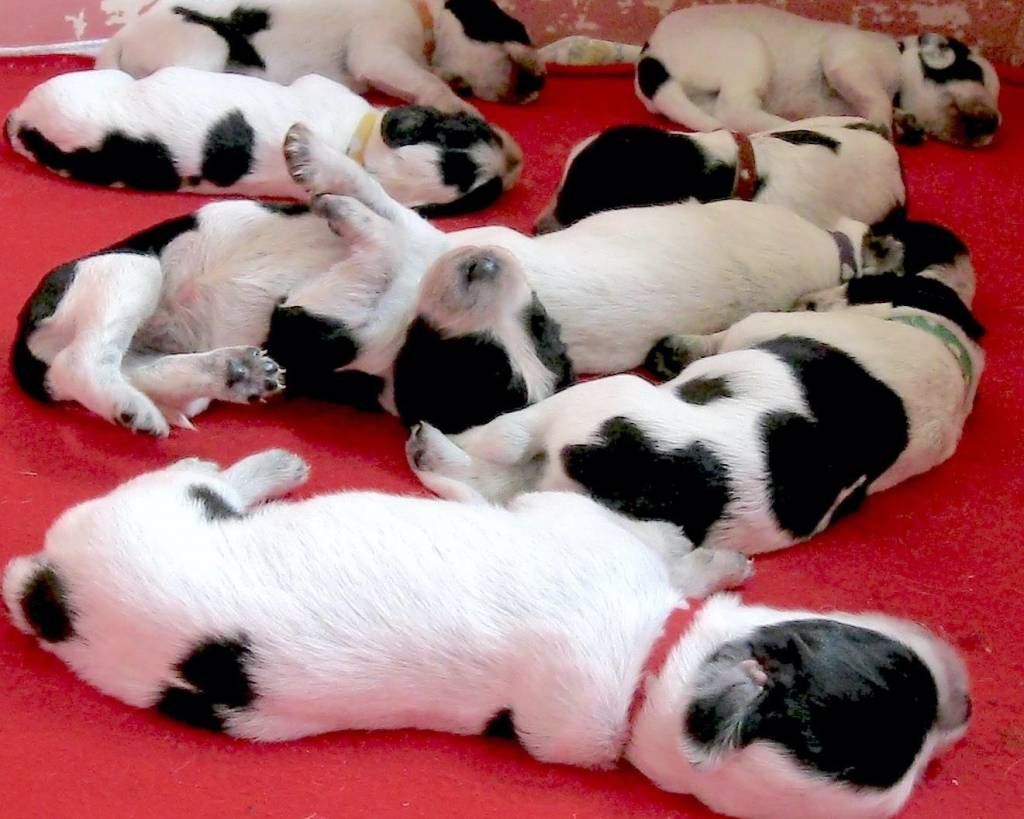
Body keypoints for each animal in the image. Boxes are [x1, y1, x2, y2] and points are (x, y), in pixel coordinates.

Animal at [3, 449, 971, 819]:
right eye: (896, 668)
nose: (965, 702)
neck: (648, 684)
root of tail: (47, 584)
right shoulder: (580, 522)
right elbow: (664, 543)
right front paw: (724, 560)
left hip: (151, 508)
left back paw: (268, 465)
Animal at [96, 0, 545, 116]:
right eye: (514, 29)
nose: (541, 83)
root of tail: (119, 40)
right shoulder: (379, 52)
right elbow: (427, 81)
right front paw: (460, 108)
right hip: (207, 43)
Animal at [406, 228, 983, 554]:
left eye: (859, 284)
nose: (812, 299)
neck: (949, 345)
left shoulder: (758, 326)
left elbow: (728, 335)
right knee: (489, 482)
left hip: (596, 400)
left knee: (498, 440)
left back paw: (432, 441)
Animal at [637, 4, 1001, 147]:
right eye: (973, 72)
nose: (995, 125)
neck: (899, 55)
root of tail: (650, 56)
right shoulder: (848, 63)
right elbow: (877, 100)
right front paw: (887, 125)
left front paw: (905, 123)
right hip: (749, 49)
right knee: (737, 110)